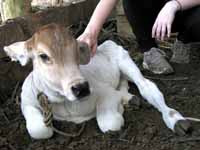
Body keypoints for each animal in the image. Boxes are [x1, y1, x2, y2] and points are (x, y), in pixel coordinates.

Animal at [3, 23, 190, 139]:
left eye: (77, 51)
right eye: (43, 56)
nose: (81, 87)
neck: (65, 104)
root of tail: (105, 43)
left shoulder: (106, 93)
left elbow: (110, 123)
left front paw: (119, 110)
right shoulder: (25, 102)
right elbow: (38, 130)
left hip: (125, 60)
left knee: (147, 87)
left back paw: (177, 121)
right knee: (124, 83)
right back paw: (130, 99)